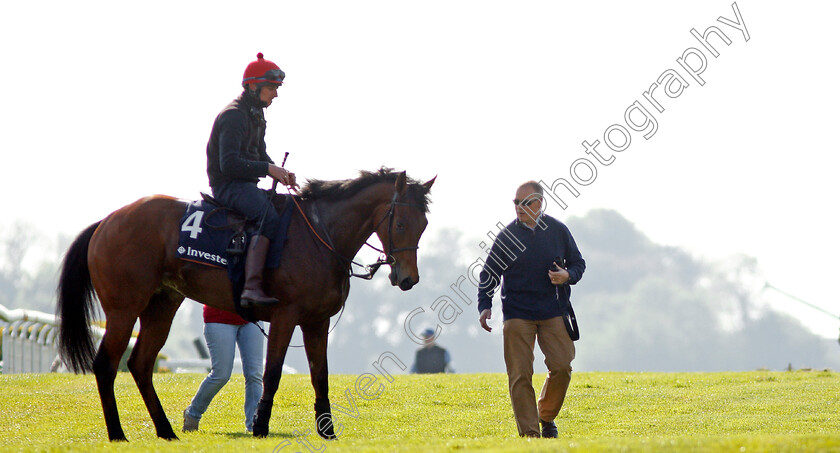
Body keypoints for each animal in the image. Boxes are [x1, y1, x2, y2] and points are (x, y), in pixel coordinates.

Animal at [56, 168, 436, 440]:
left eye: (424, 224)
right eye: (401, 222)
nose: (408, 278)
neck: (320, 237)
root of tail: (107, 221)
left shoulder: (317, 322)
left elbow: (320, 376)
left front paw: (327, 431)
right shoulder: (285, 317)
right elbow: (272, 373)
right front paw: (261, 425)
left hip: (162, 306)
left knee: (140, 364)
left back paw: (165, 431)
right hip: (123, 310)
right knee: (106, 364)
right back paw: (117, 434)